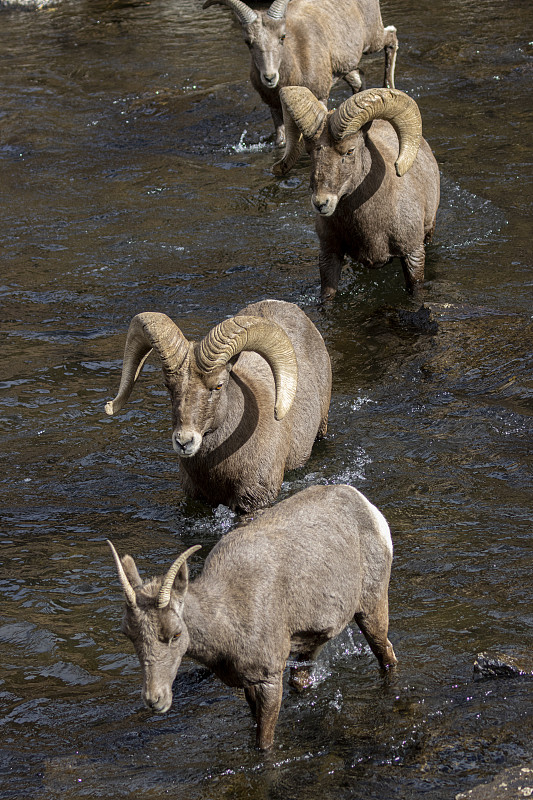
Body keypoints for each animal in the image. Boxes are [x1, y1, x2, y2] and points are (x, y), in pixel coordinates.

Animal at [107, 482, 394, 752]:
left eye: (176, 633)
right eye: (129, 634)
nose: (154, 699)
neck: (227, 621)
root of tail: (365, 503)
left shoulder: (269, 679)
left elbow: (263, 744)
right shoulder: (249, 683)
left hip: (371, 608)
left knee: (387, 654)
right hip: (313, 642)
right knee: (303, 679)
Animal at [202, 0, 396, 153]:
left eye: (282, 37)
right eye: (248, 42)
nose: (270, 78)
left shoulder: (320, 97)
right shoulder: (274, 107)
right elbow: (281, 142)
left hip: (373, 41)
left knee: (391, 38)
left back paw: (389, 87)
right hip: (346, 68)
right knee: (358, 79)